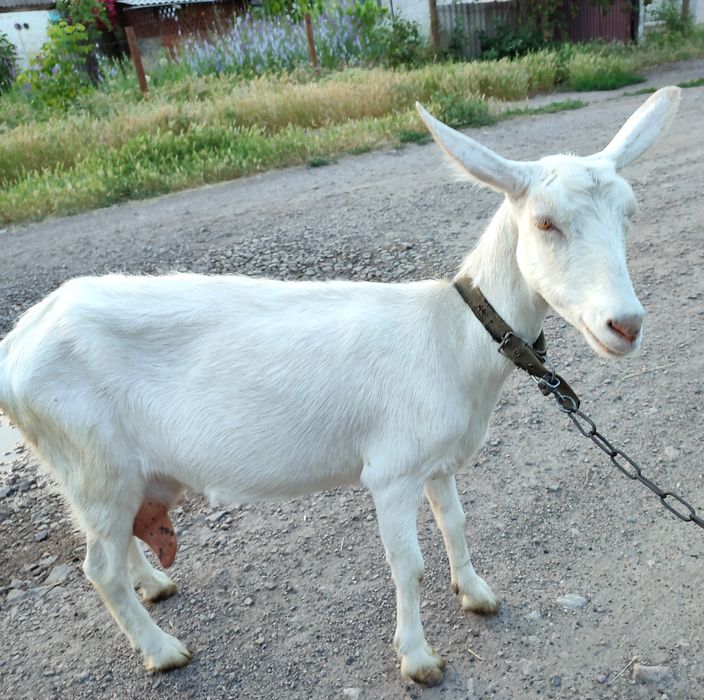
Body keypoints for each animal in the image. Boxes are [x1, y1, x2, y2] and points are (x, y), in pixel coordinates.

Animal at [0, 87, 680, 686]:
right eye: (544, 223)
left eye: (629, 215)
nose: (625, 325)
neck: (450, 335)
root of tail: (19, 343)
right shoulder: (392, 471)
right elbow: (408, 566)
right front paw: (418, 660)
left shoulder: (435, 461)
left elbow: (456, 524)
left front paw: (477, 593)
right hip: (90, 460)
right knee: (98, 568)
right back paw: (163, 650)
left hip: (105, 472)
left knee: (116, 545)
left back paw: (156, 585)